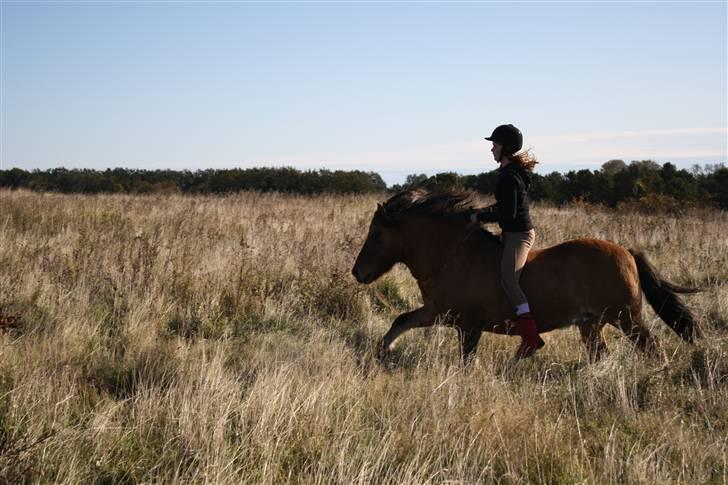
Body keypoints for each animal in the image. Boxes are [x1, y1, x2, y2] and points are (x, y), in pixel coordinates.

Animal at [350, 187, 704, 362]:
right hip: (592, 323)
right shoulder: (439, 312)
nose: (357, 273)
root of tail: (627, 252)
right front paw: (382, 352)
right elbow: (401, 321)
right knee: (600, 355)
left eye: (376, 235)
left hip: (626, 317)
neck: (452, 255)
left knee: (653, 348)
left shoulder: (467, 325)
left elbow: (465, 360)